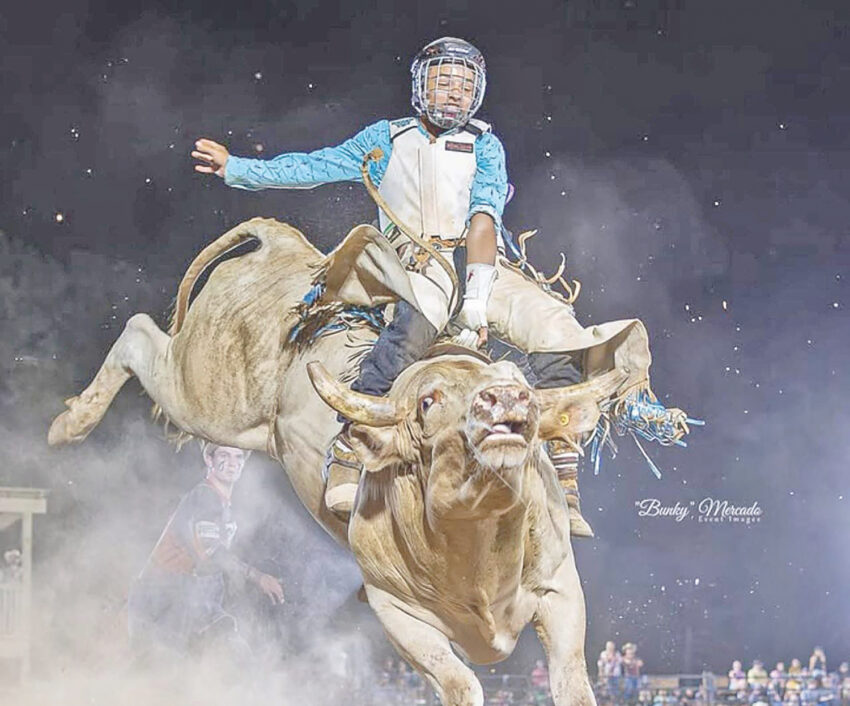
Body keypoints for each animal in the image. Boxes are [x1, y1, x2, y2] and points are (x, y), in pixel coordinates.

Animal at [48, 217, 624, 705]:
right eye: (428, 401)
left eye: (519, 383)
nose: (507, 399)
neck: (475, 540)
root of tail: (286, 247)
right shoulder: (397, 613)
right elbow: (460, 682)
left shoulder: (561, 591)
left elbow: (572, 682)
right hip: (206, 393)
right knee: (138, 334)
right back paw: (70, 424)